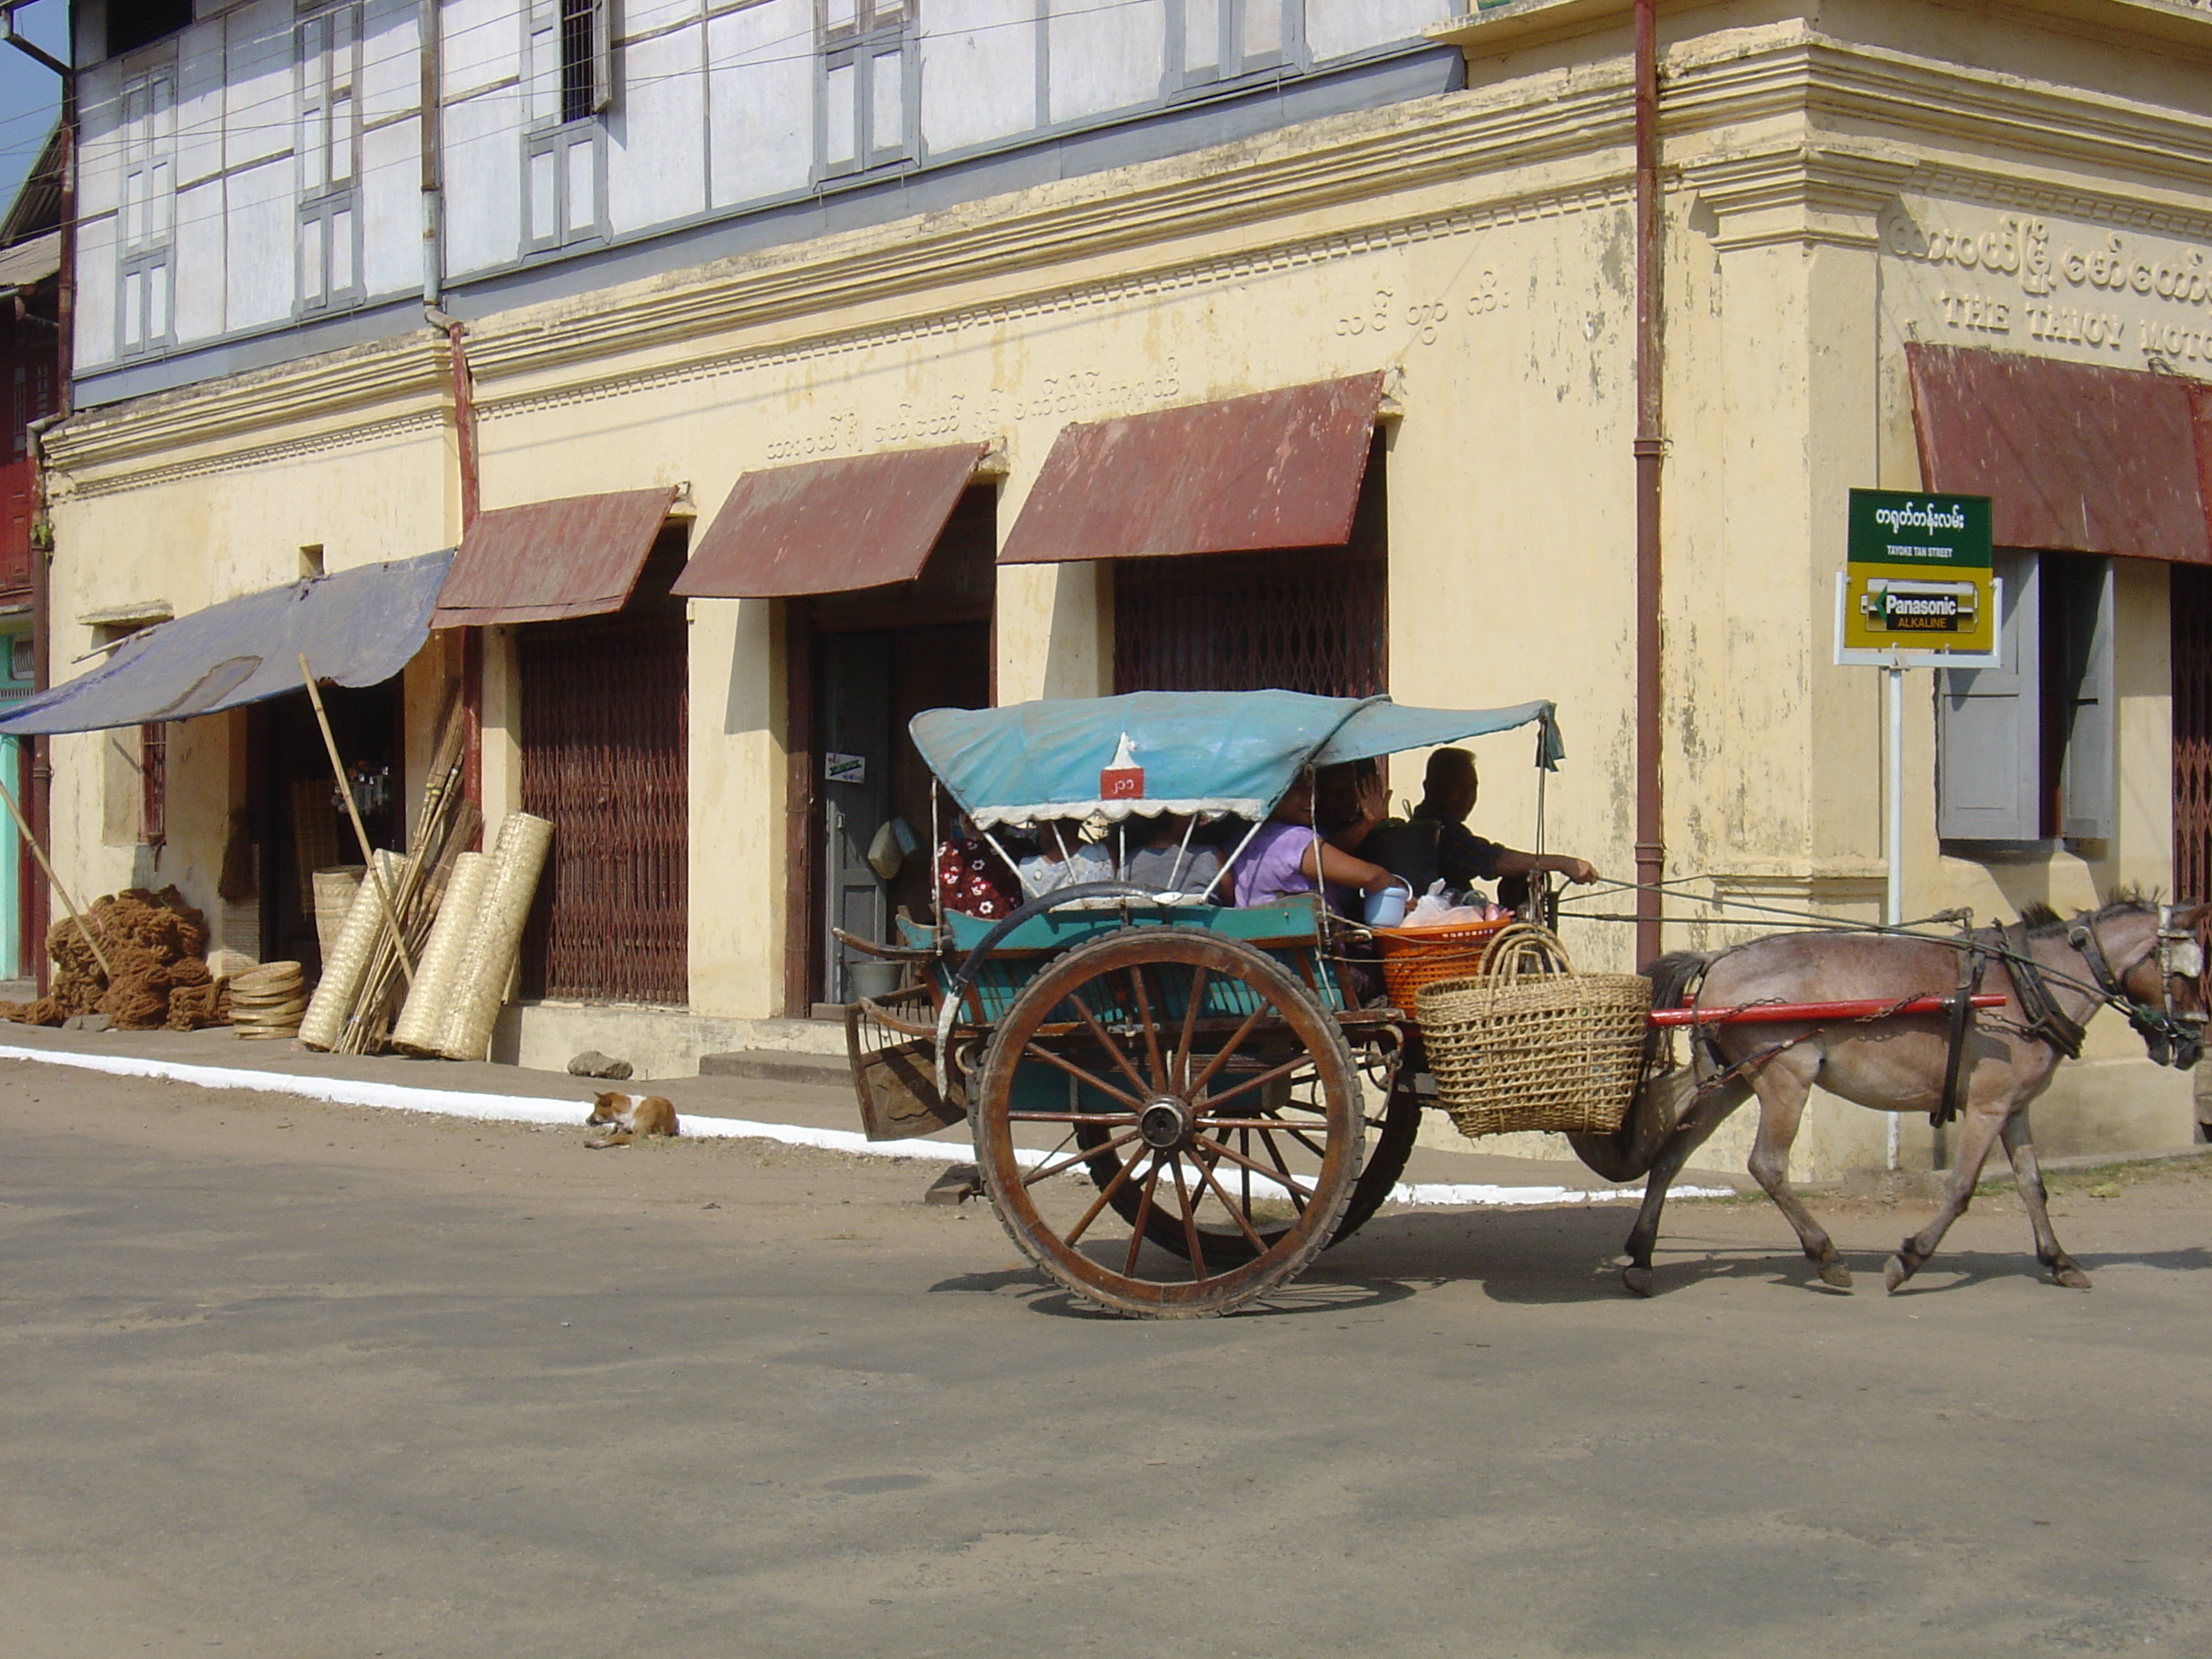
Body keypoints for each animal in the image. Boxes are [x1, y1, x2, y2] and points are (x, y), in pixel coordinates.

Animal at [1566, 898, 2203, 1301]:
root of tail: (1717, 960)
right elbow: (1963, 1187)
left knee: (1672, 1155)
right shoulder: (1989, 1106)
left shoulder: (2014, 1107)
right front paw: (1908, 1260)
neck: (2027, 987)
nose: (2194, 1045)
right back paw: (1827, 1258)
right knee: (1766, 1165)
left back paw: (1641, 1259)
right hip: (1786, 1077)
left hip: (1736, 1078)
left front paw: (2061, 1262)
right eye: (2189, 974)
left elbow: (2032, 1186)